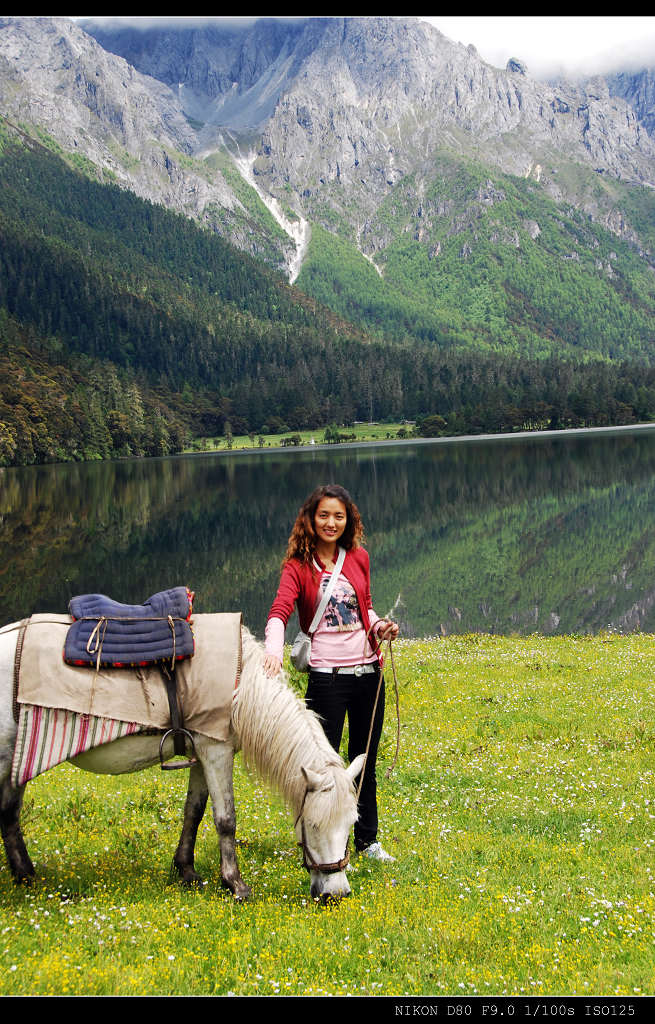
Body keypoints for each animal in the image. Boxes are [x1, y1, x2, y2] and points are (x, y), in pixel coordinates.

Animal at [0, 618, 364, 901]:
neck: (240, 683)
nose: (336, 894)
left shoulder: (204, 749)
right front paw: (235, 884)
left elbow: (195, 811)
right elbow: (226, 819)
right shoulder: (215, 751)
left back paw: (25, 876)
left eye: (350, 824)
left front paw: (185, 870)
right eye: (313, 825)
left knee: (10, 813)